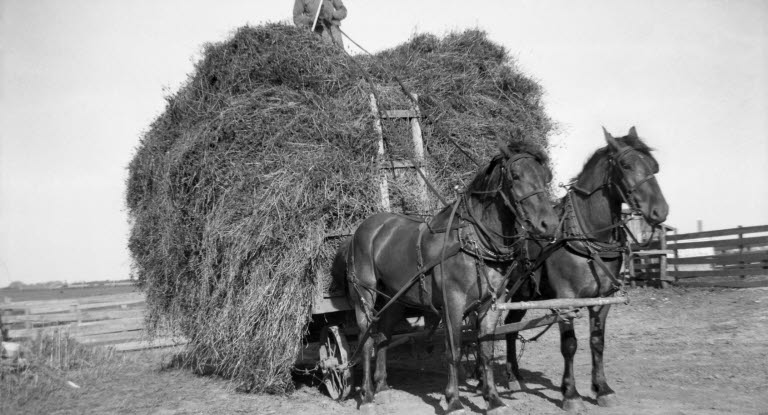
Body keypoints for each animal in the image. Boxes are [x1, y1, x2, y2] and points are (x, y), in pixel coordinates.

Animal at [332, 141, 560, 414]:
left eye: (546, 177)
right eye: (515, 176)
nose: (549, 225)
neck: (473, 239)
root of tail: (359, 231)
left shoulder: (490, 304)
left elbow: (486, 350)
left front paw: (493, 399)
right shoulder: (454, 303)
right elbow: (454, 350)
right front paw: (453, 400)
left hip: (395, 299)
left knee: (383, 336)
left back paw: (383, 387)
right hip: (364, 294)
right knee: (366, 340)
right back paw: (366, 396)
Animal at [500, 128, 668, 414]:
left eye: (654, 166)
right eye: (625, 165)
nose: (660, 211)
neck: (587, 235)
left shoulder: (603, 299)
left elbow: (597, 342)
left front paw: (603, 389)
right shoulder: (567, 300)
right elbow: (569, 345)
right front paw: (571, 394)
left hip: (523, 295)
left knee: (511, 327)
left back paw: (514, 374)